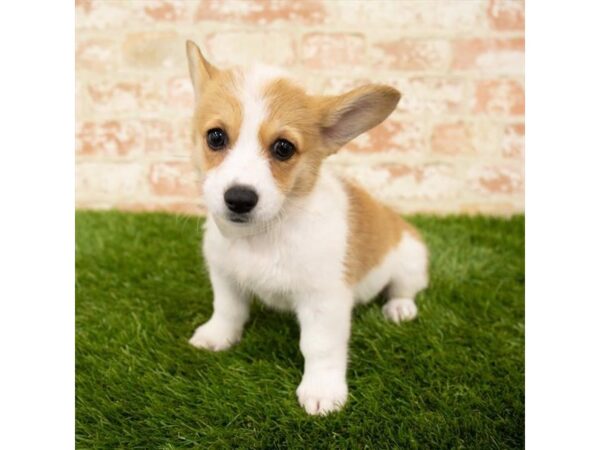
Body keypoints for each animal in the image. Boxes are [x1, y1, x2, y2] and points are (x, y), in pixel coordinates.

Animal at [185, 41, 428, 414]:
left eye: (283, 148)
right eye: (216, 137)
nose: (239, 198)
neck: (262, 236)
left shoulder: (324, 301)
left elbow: (319, 347)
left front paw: (322, 390)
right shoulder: (225, 277)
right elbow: (227, 310)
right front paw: (217, 336)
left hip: (410, 261)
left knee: (404, 289)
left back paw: (399, 307)